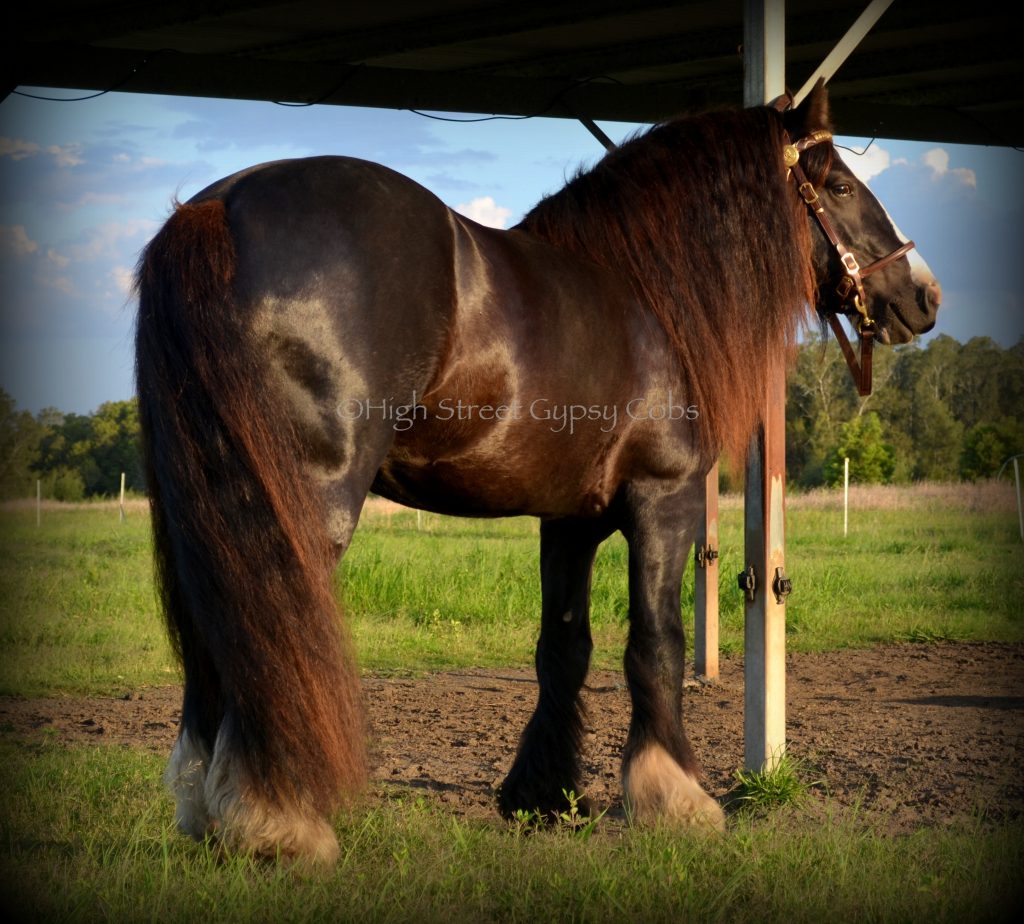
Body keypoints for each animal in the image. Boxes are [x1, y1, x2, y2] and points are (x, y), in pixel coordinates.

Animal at [138, 82, 942, 864]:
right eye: (839, 184)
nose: (924, 295)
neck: (647, 294)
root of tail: (221, 205)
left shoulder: (569, 521)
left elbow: (563, 648)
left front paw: (543, 795)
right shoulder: (665, 497)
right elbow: (657, 642)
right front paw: (676, 802)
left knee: (214, 632)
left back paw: (208, 813)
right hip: (303, 500)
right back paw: (279, 823)